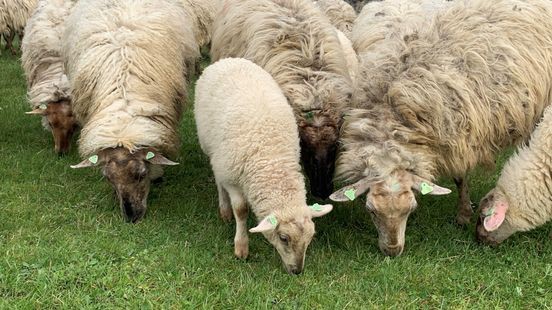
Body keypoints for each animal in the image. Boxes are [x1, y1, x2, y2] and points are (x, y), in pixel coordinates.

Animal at [194, 57, 332, 274]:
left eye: (311, 237)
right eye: (284, 238)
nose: (297, 271)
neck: (272, 161)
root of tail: (229, 60)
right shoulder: (232, 176)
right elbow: (241, 209)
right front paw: (241, 247)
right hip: (213, 152)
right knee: (218, 178)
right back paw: (224, 209)